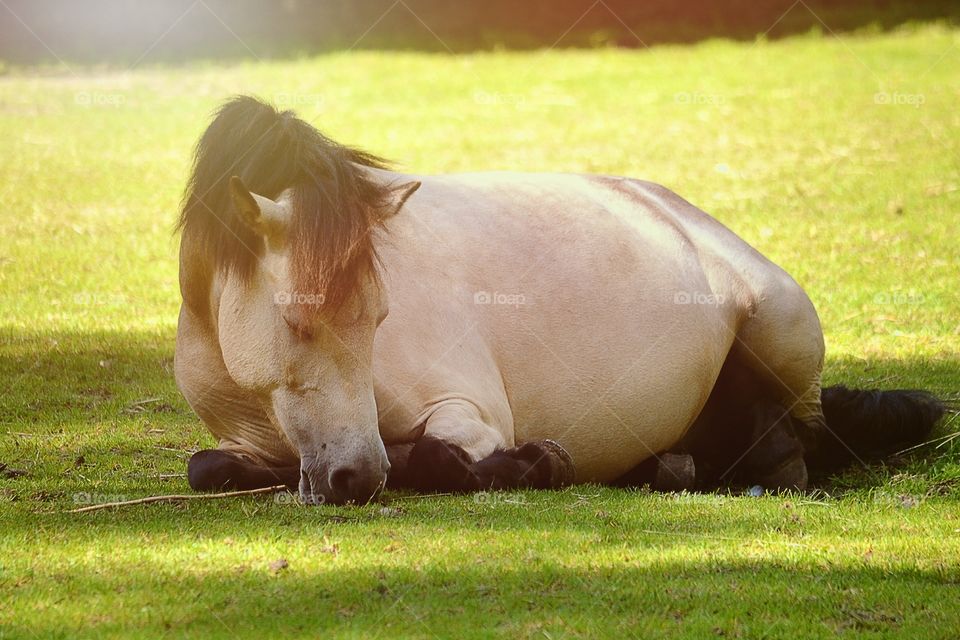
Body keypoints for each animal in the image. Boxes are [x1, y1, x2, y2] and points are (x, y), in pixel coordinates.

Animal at [174, 96, 945, 505]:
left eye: (381, 319)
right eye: (295, 321)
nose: (357, 476)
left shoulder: (470, 414)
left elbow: (436, 457)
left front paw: (536, 463)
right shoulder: (248, 441)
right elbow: (209, 467)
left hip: (782, 336)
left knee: (806, 438)